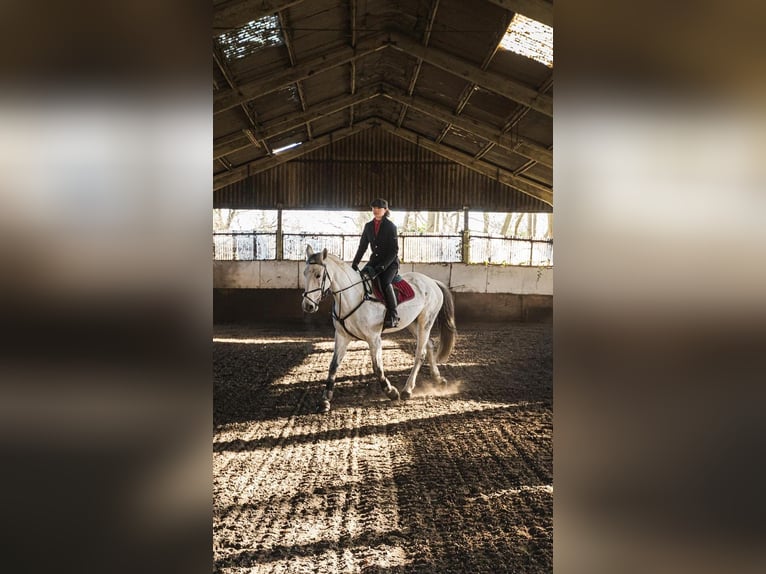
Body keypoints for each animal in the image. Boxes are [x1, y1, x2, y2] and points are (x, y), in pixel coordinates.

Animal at [300, 245, 456, 412]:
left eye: (318, 275)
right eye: (304, 273)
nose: (308, 306)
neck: (353, 296)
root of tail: (432, 282)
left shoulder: (374, 338)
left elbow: (377, 368)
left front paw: (391, 392)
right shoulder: (342, 337)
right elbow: (333, 366)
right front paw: (325, 400)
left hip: (425, 321)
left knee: (420, 353)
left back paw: (407, 390)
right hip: (413, 323)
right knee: (430, 345)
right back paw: (438, 379)